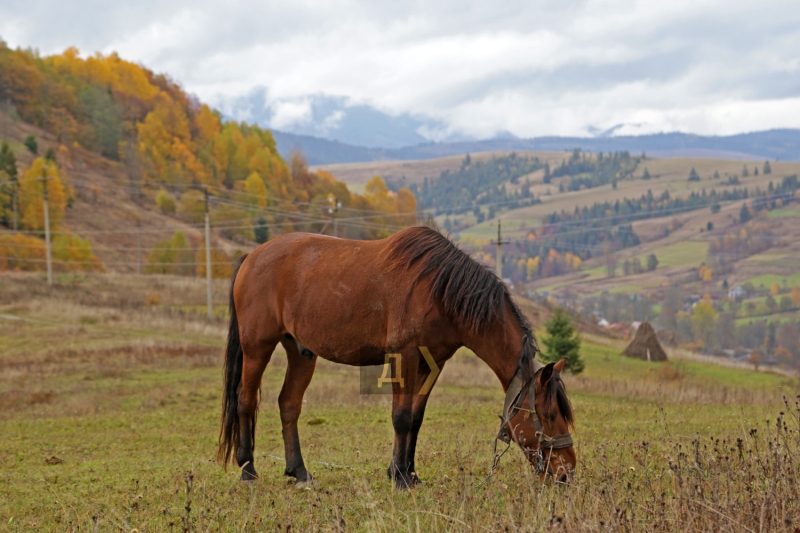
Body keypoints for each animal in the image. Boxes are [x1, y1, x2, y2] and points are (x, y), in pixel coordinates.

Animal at [219, 224, 576, 486]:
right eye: (548, 415)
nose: (566, 473)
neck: (441, 293)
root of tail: (251, 257)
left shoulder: (432, 364)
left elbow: (415, 418)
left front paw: (407, 472)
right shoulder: (404, 357)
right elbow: (401, 417)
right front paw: (400, 477)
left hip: (300, 351)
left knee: (289, 404)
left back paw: (300, 472)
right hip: (257, 347)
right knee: (246, 400)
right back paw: (248, 470)